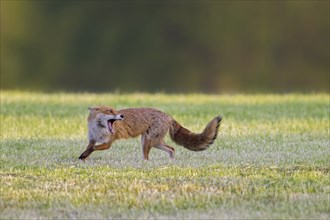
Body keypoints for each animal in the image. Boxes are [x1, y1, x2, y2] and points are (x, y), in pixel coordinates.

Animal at [78, 105, 222, 161]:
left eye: (115, 111)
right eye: (109, 111)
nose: (121, 116)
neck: (98, 129)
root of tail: (167, 116)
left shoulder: (108, 143)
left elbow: (94, 148)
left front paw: (84, 156)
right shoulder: (92, 139)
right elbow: (89, 148)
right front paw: (83, 157)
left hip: (147, 141)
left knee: (148, 157)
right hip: (154, 142)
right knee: (172, 149)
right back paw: (171, 162)